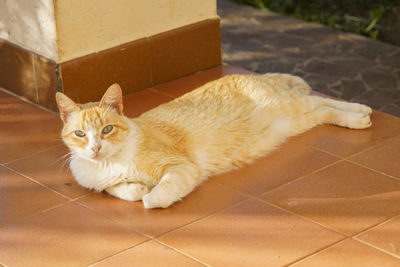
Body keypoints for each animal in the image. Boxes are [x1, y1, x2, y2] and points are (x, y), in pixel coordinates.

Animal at [55, 74, 372, 209]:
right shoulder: (103, 184)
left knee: (321, 99)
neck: (111, 163)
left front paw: (151, 193)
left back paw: (361, 112)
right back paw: (356, 118)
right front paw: (136, 187)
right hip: (292, 122)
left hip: (290, 106)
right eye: (80, 134)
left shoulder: (182, 167)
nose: (95, 148)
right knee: (322, 111)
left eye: (107, 129)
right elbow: (124, 191)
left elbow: (154, 197)